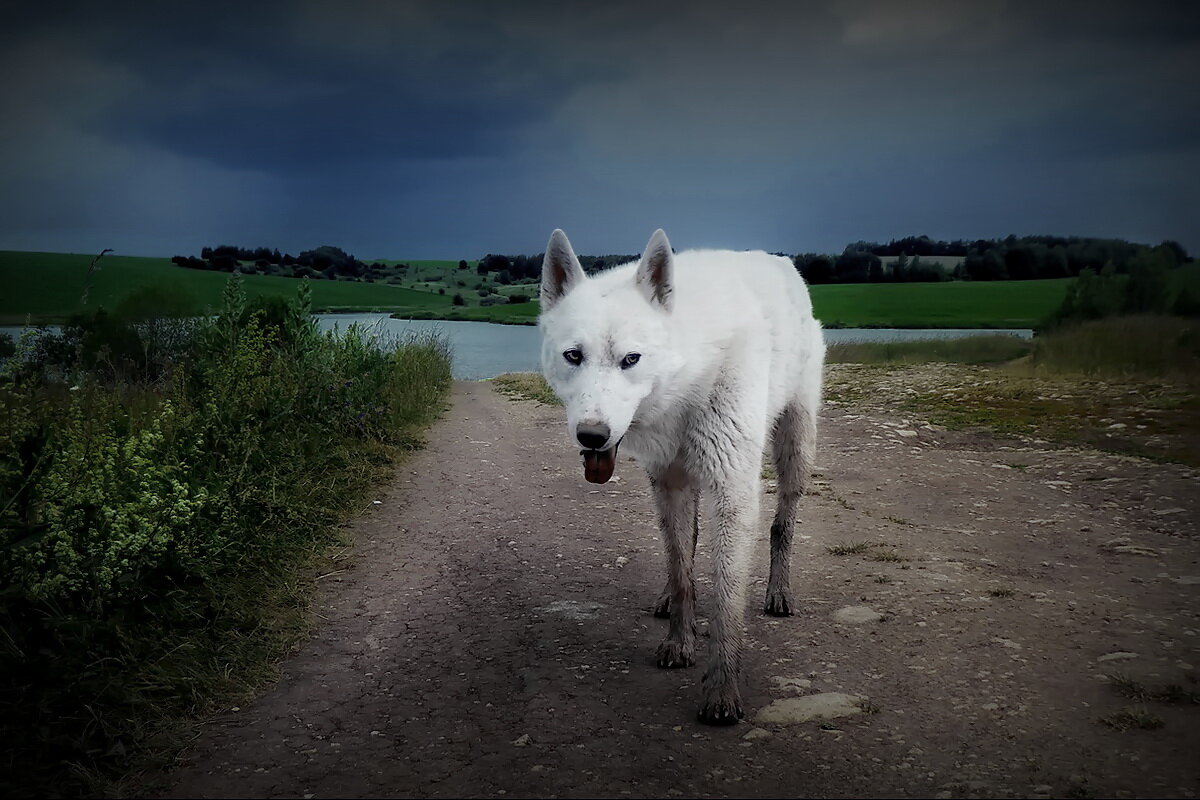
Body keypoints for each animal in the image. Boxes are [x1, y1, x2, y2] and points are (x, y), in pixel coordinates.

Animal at [540, 226, 820, 724]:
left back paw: (779, 592)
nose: (592, 436)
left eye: (631, 359)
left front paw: (722, 689)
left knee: (783, 524)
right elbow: (681, 567)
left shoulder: (733, 491)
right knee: (686, 547)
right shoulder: (667, 483)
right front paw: (678, 641)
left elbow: (727, 597)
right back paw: (667, 599)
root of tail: (782, 263)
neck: (688, 381)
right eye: (573, 356)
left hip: (795, 449)